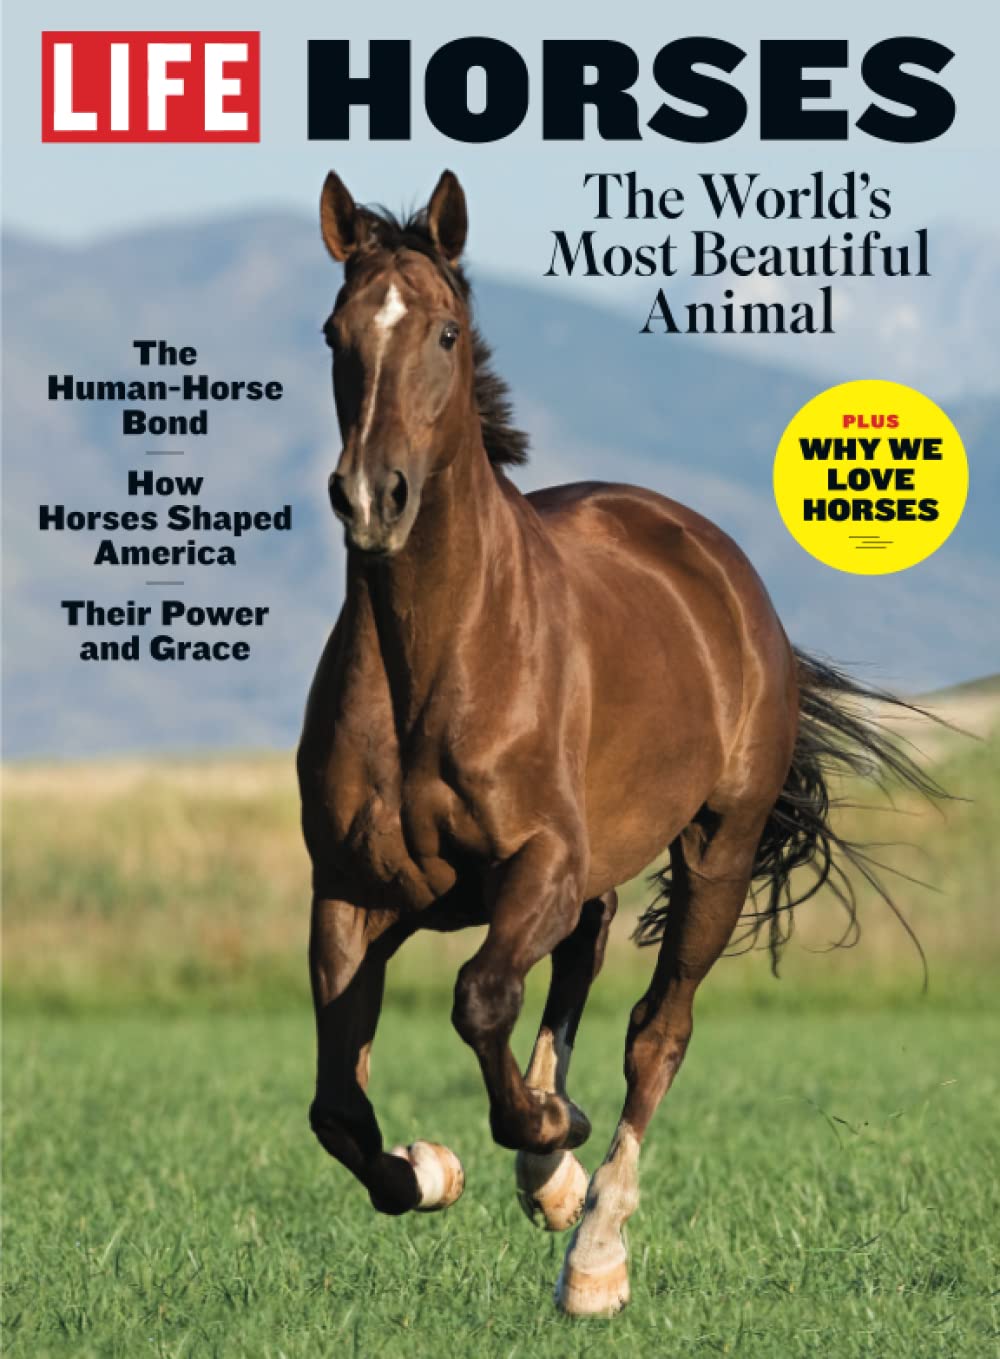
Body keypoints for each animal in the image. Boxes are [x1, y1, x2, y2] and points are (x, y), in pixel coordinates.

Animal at [296, 169, 939, 1316]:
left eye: (446, 332)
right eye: (334, 333)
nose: (373, 499)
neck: (435, 664)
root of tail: (715, 561)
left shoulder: (538, 865)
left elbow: (481, 1000)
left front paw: (551, 1154)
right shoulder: (353, 892)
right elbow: (339, 1107)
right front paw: (438, 1169)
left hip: (714, 855)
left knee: (655, 1031)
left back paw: (592, 1247)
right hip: (583, 880)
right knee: (575, 979)